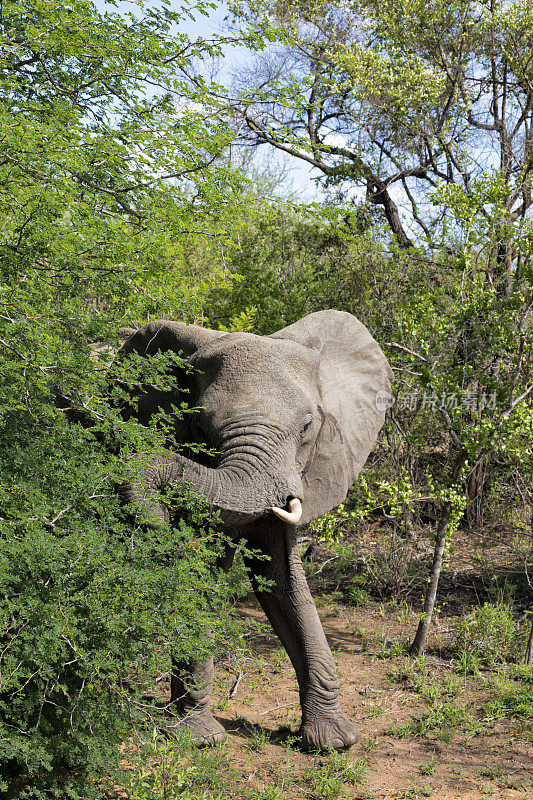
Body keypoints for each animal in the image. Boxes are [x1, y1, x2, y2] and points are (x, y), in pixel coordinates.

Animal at [117, 308, 390, 752]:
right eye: (198, 428)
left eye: (308, 426)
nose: (154, 520)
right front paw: (201, 740)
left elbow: (285, 580)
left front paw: (334, 743)